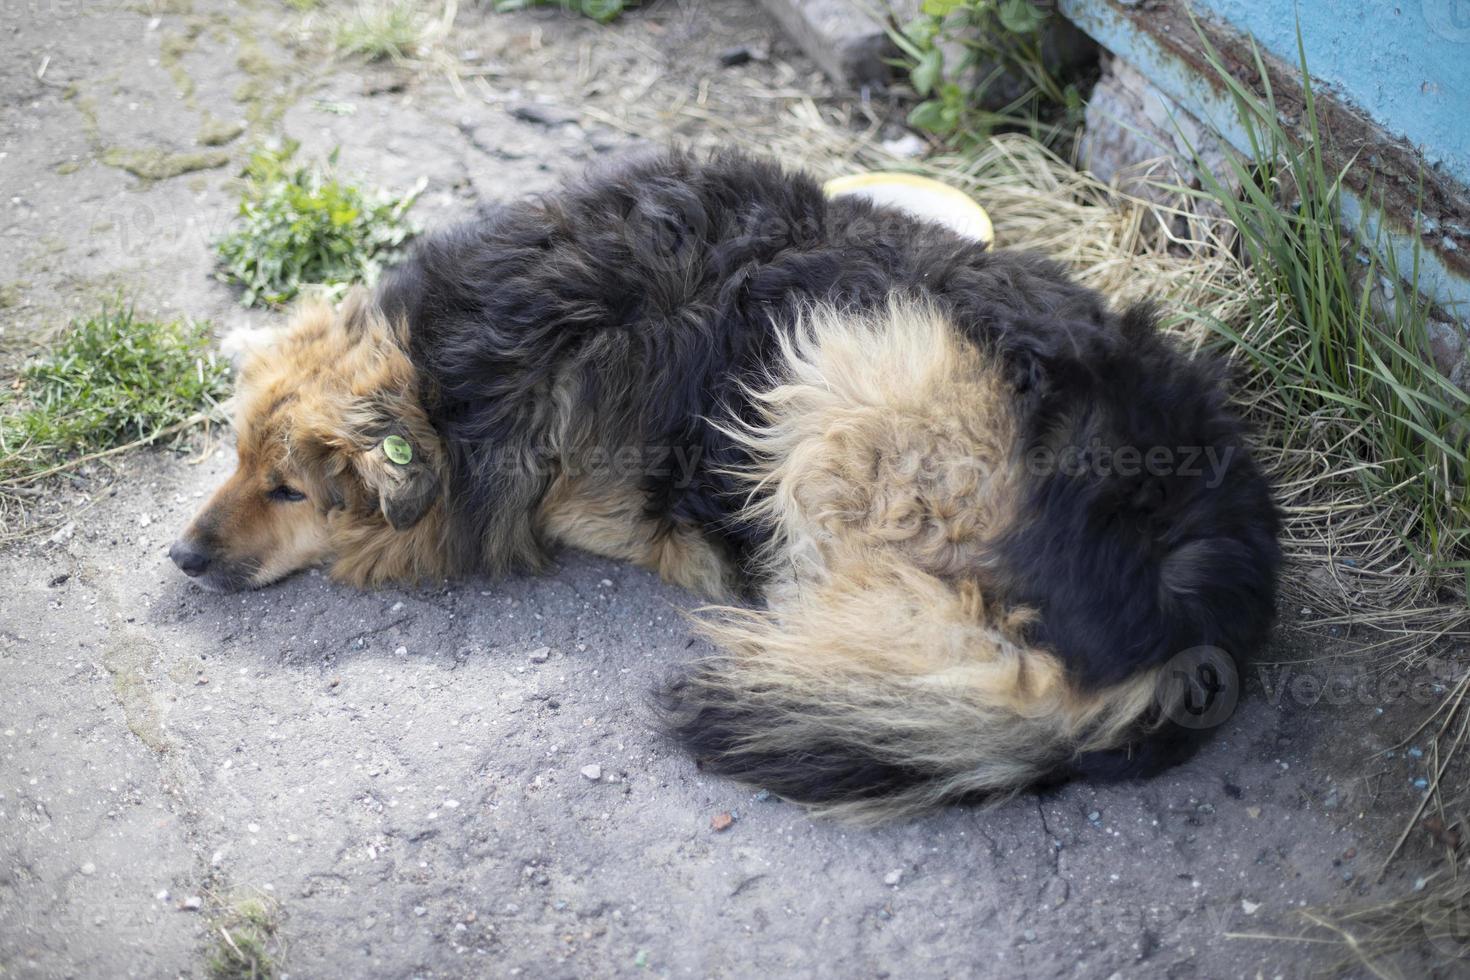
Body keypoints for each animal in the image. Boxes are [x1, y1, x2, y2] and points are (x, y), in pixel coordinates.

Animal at [169, 145, 1275, 822]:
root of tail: (1203, 601)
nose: (182, 556)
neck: (456, 366)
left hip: (850, 363)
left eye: (289, 491)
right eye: (235, 460)